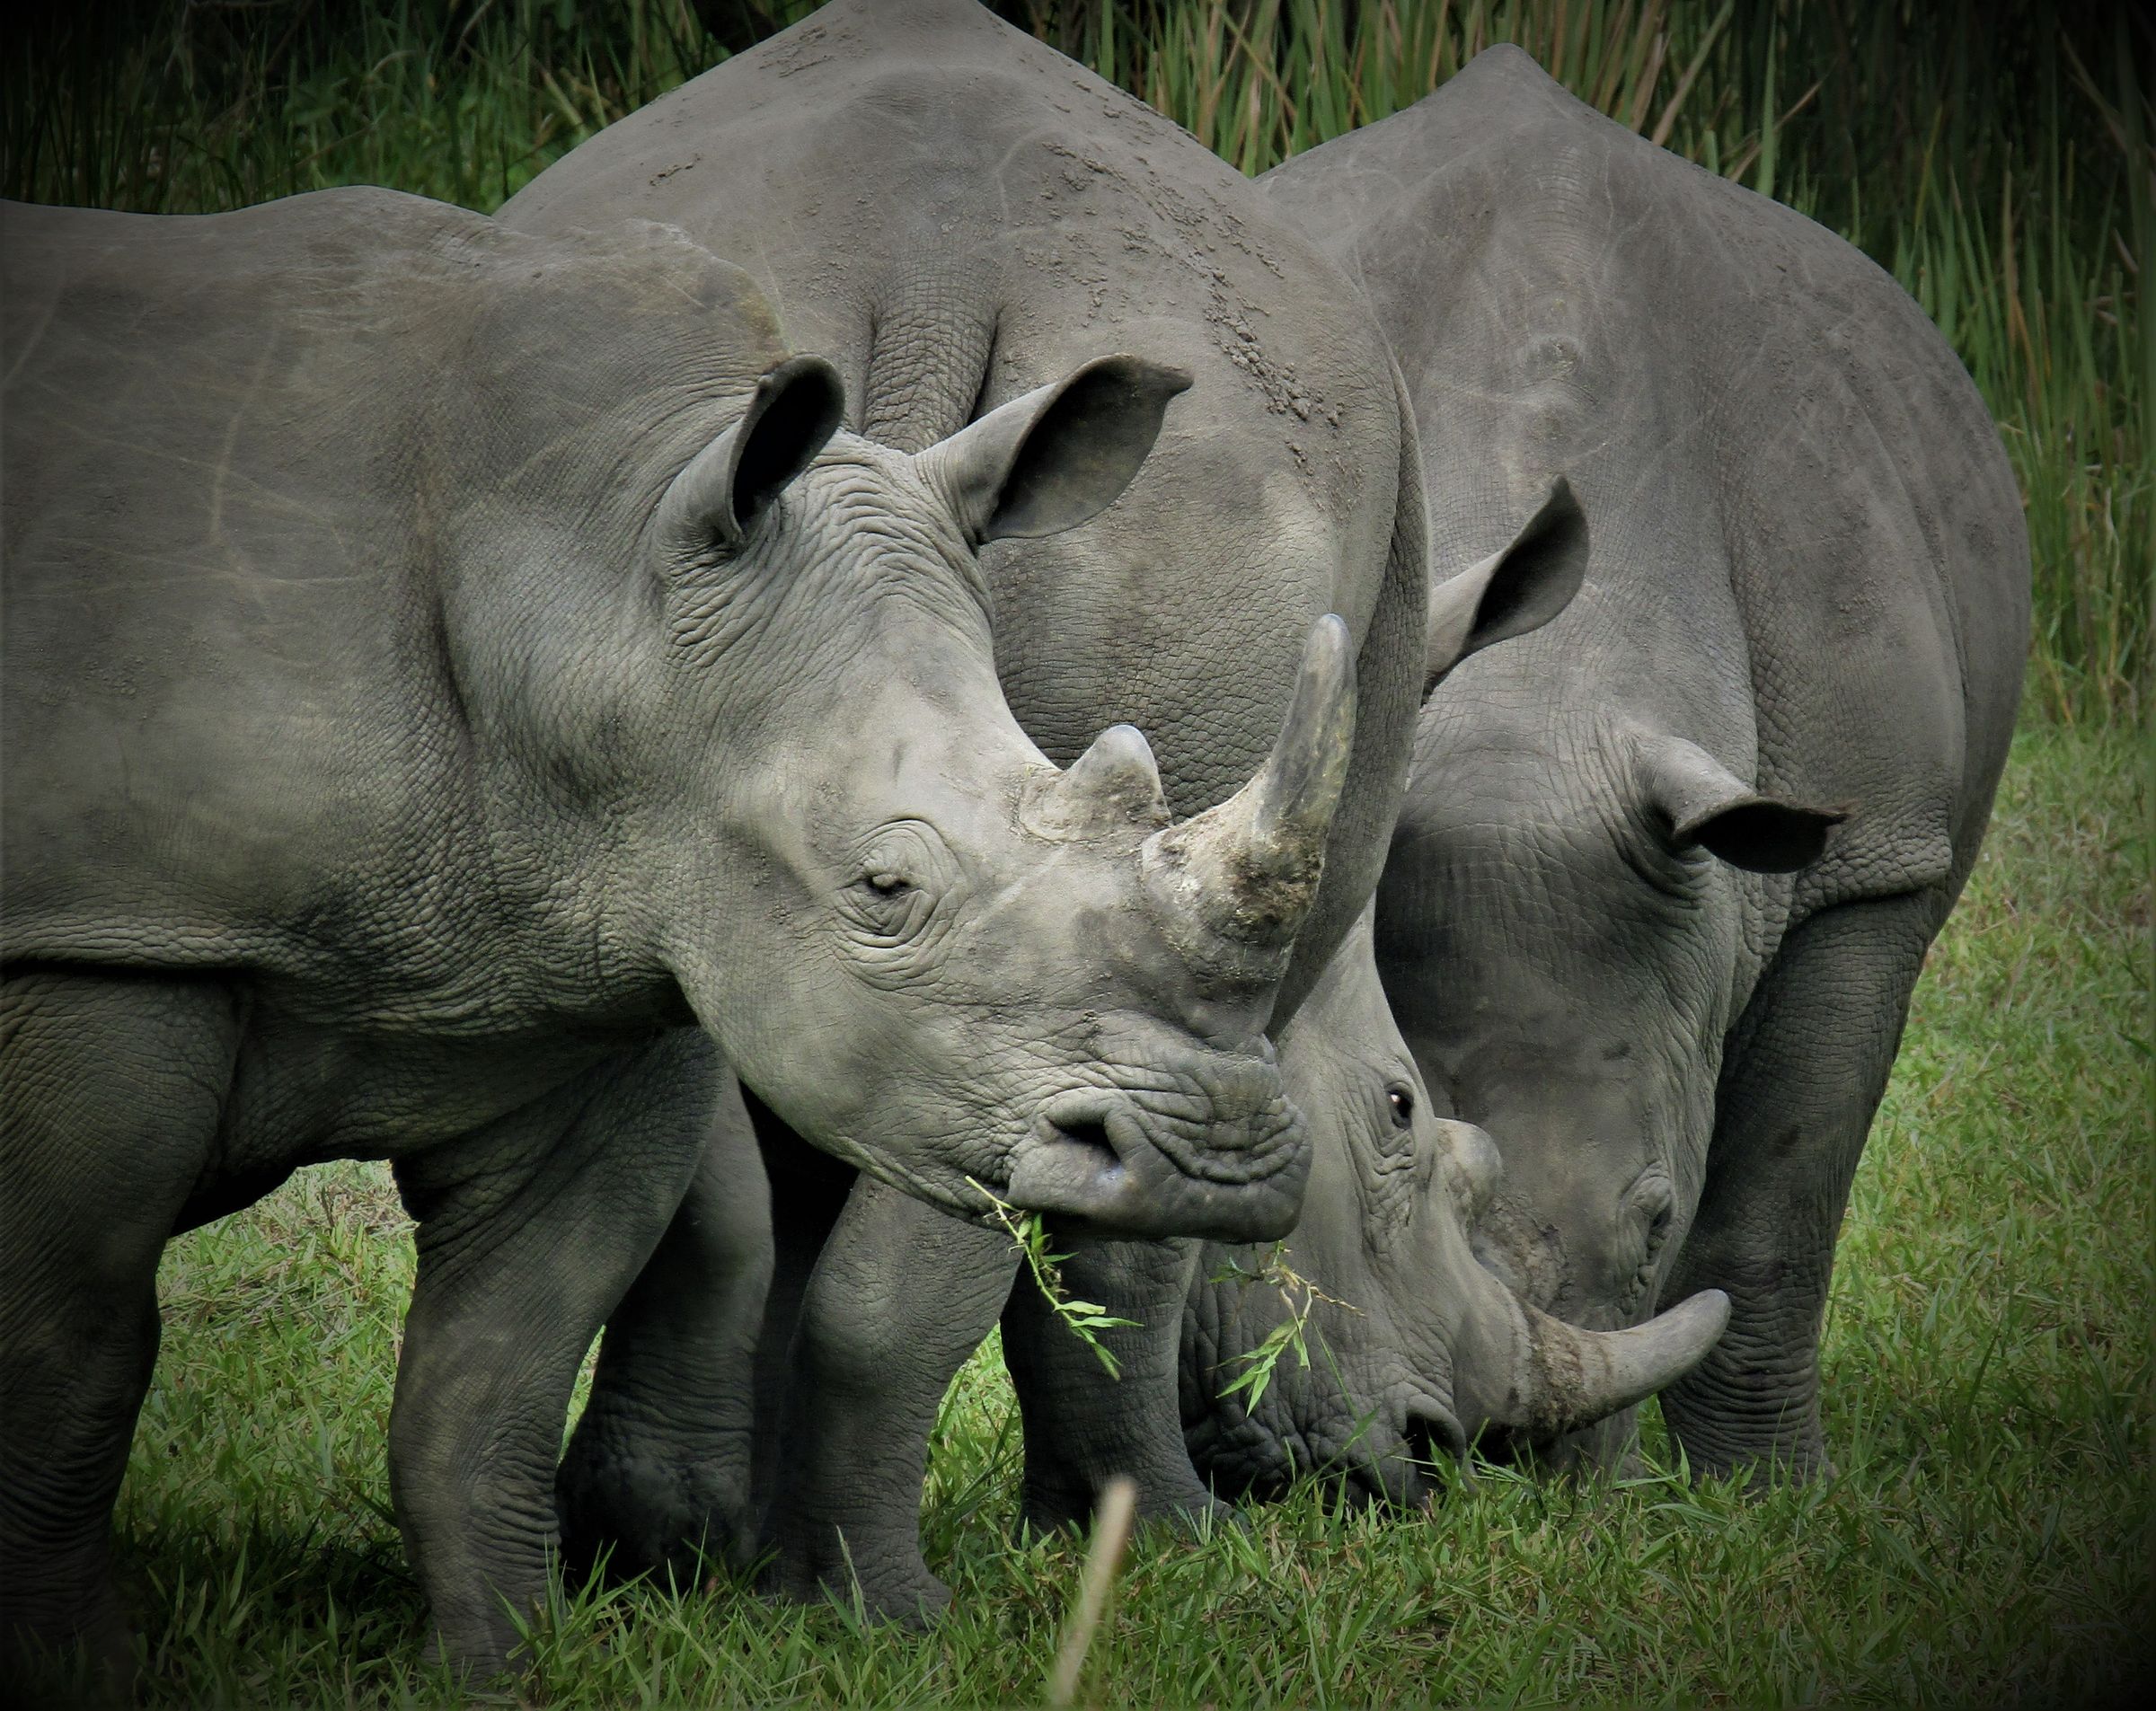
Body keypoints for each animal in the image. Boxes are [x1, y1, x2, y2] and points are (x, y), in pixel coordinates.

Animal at [0, 187, 1357, 1678]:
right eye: (884, 889)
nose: (1221, 1161)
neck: (595, 586)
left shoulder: (597, 965)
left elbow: (488, 1386)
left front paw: (506, 1671)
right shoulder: (102, 943)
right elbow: (71, 1360)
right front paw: (82, 1670)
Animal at [498, 0, 1437, 1612]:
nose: (1426, 1462)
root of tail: (933, 281)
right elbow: (1118, 1216)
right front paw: (1141, 1533)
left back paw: (685, 1549)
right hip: (1209, 523)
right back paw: (936, 1593)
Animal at [1258, 48, 2031, 1476]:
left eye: (1657, 1220)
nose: (1506, 1458)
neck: (1550, 698)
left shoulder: (1872, 857)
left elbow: (1779, 1197)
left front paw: (1768, 1490)